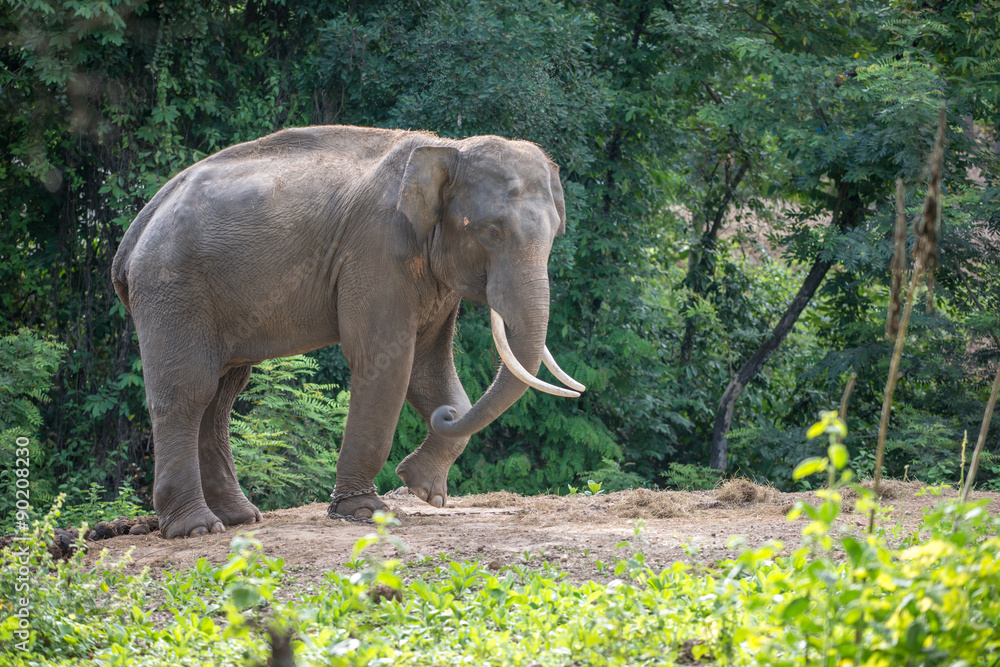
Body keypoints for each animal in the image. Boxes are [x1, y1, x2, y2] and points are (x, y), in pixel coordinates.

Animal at [114, 125, 584, 540]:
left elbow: (428, 368)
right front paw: (365, 510)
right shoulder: (377, 250)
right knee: (190, 392)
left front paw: (423, 490)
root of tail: (136, 230)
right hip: (172, 288)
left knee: (222, 394)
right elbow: (386, 361)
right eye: (492, 232)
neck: (448, 148)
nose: (446, 416)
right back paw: (196, 528)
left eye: (554, 235)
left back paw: (239, 518)